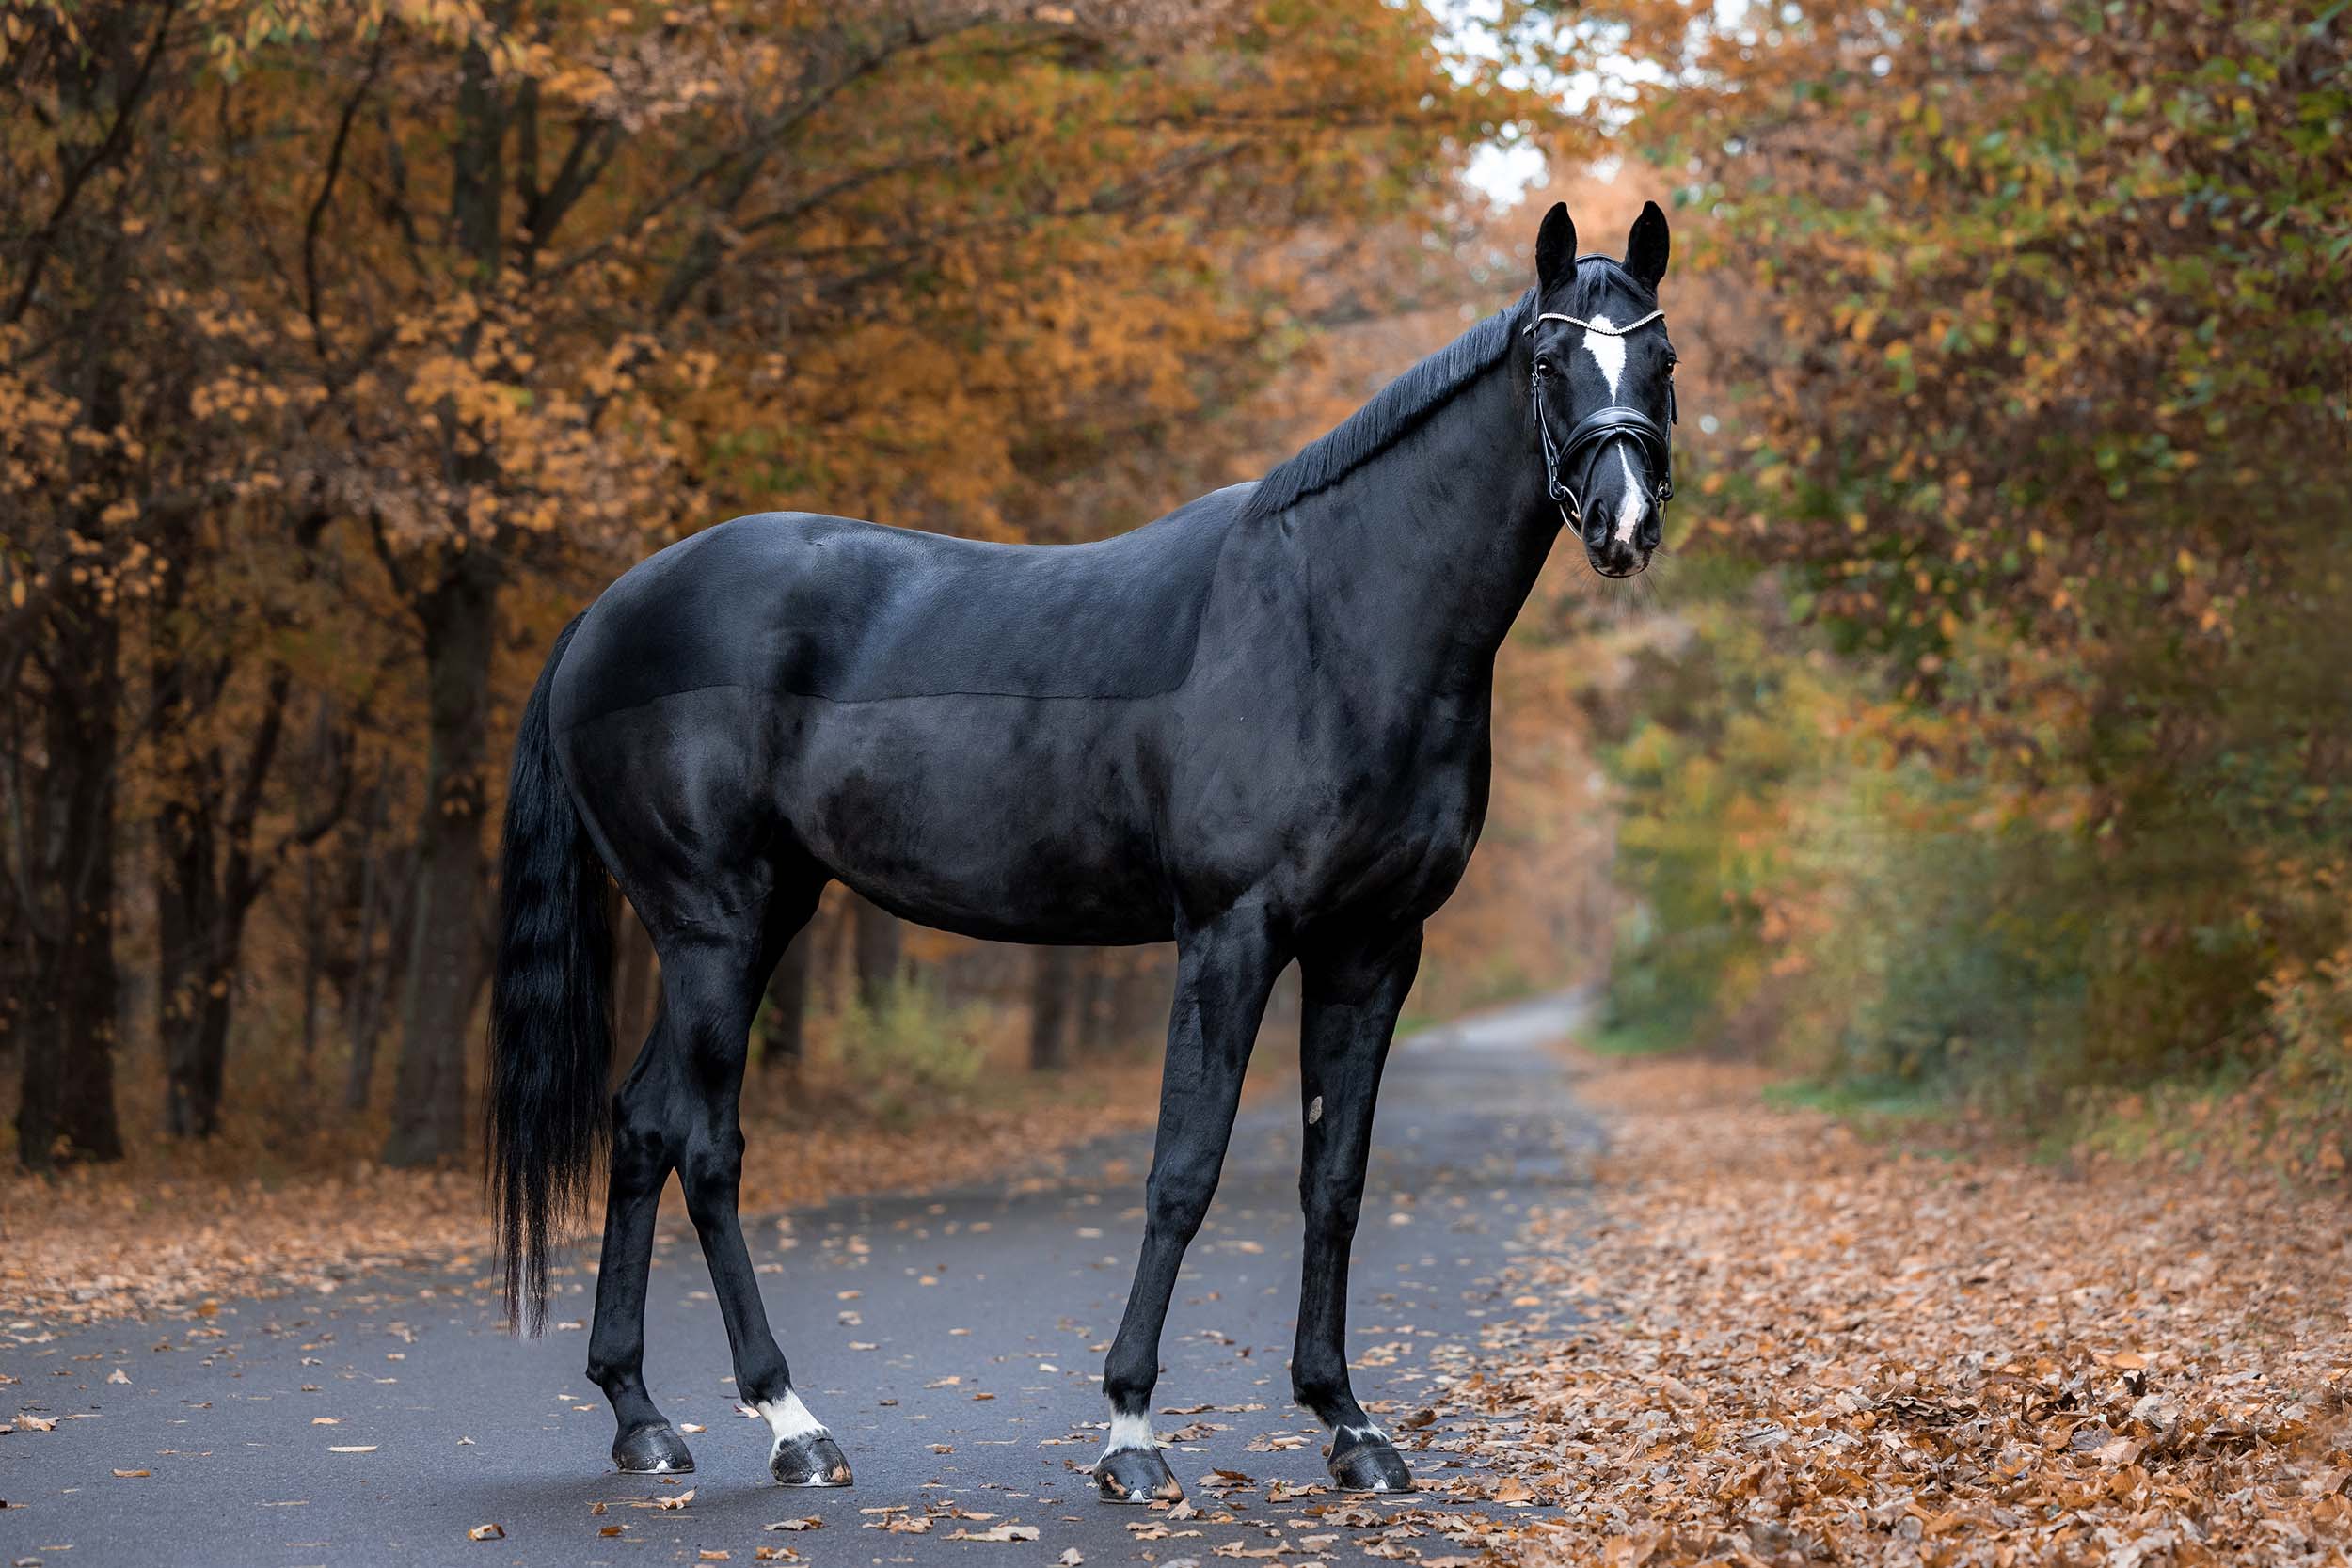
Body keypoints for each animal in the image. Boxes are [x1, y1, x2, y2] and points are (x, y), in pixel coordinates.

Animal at [491, 201, 1675, 1504]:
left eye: (1661, 363)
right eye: (1551, 363)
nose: (1625, 526)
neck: (1335, 619)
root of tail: (608, 611)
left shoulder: (1372, 948)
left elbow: (1335, 1180)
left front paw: (1348, 1423)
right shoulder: (1229, 934)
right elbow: (1183, 1170)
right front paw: (1130, 1431)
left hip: (744, 924)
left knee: (643, 1122)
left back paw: (641, 1414)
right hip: (714, 927)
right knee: (705, 1145)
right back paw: (791, 1422)